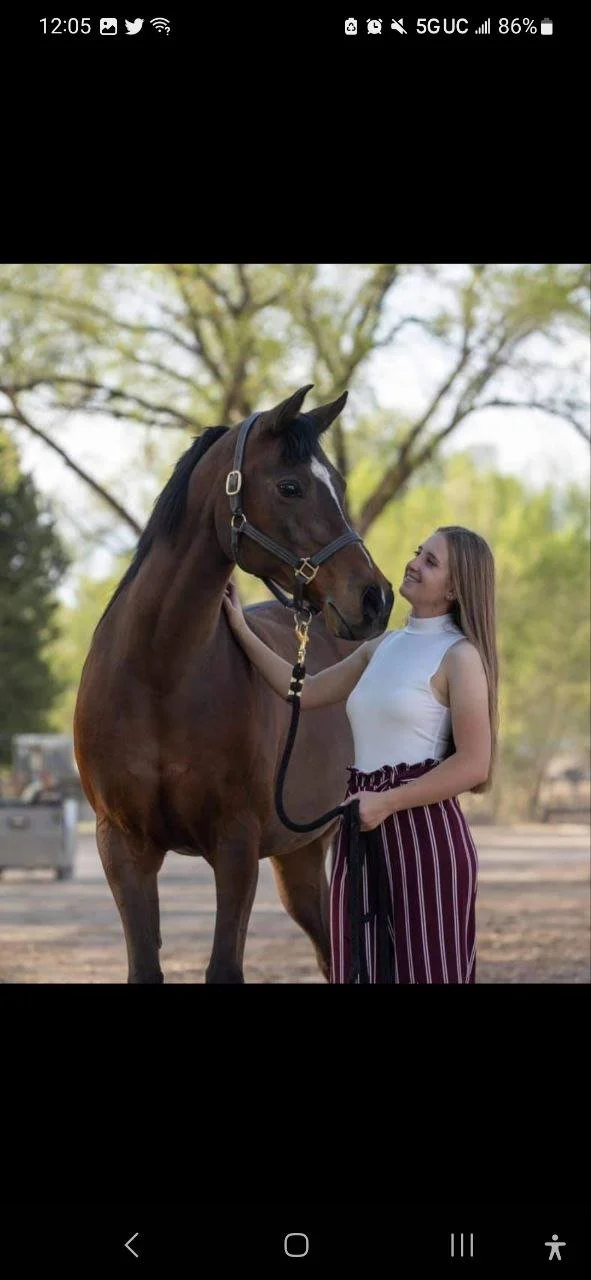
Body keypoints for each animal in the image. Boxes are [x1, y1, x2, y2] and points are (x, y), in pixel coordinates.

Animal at [73, 385, 394, 982]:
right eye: (290, 486)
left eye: (339, 484)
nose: (374, 598)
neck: (157, 673)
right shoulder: (122, 845)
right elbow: (144, 966)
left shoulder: (236, 845)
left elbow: (224, 966)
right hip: (299, 856)